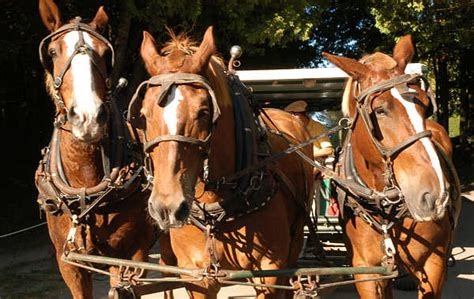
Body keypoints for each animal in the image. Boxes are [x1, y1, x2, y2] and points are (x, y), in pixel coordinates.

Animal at [35, 1, 154, 298]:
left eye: (104, 53)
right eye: (53, 52)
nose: (87, 117)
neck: (85, 187)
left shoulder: (131, 256)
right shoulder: (69, 263)